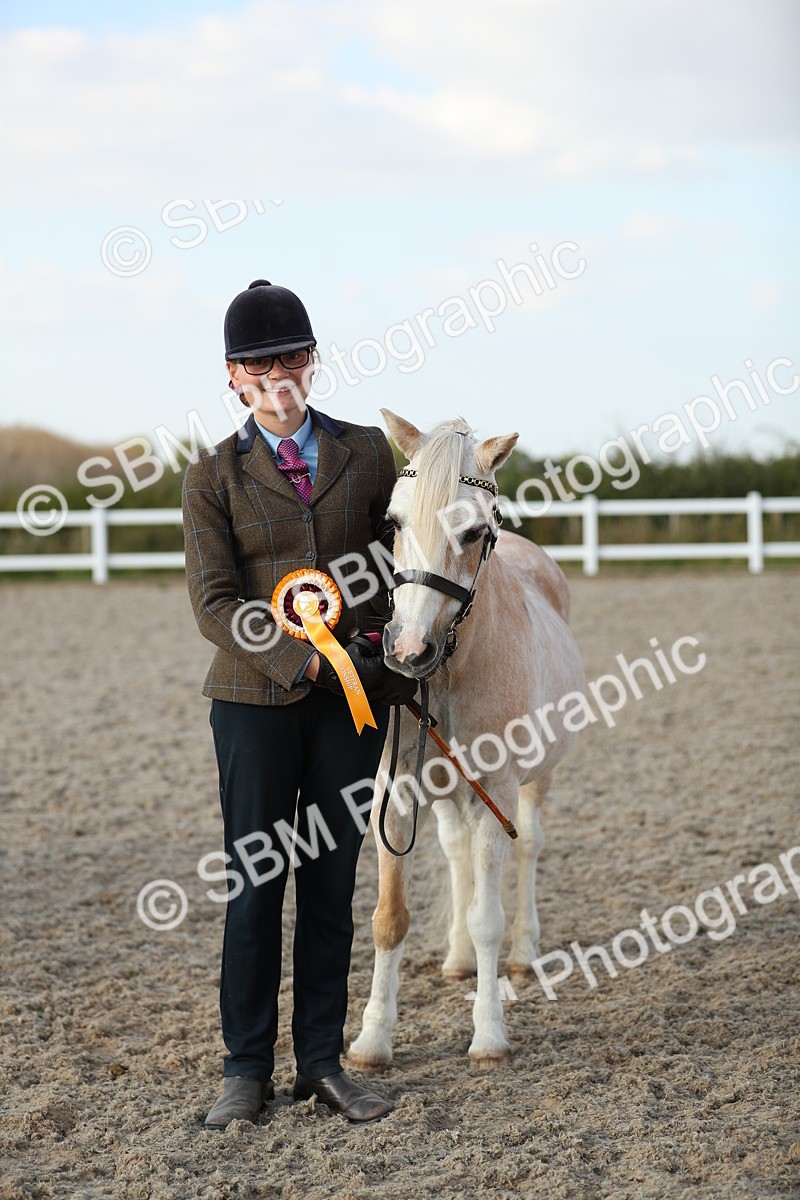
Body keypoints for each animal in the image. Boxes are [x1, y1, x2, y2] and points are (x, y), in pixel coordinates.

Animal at [347, 409, 585, 1069]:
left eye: (476, 531)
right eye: (393, 522)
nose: (407, 652)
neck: (450, 670)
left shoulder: (496, 792)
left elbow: (488, 919)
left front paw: (489, 1036)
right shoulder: (397, 795)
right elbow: (388, 918)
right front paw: (372, 1040)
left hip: (534, 781)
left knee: (529, 847)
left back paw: (525, 956)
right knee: (456, 853)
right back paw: (454, 960)